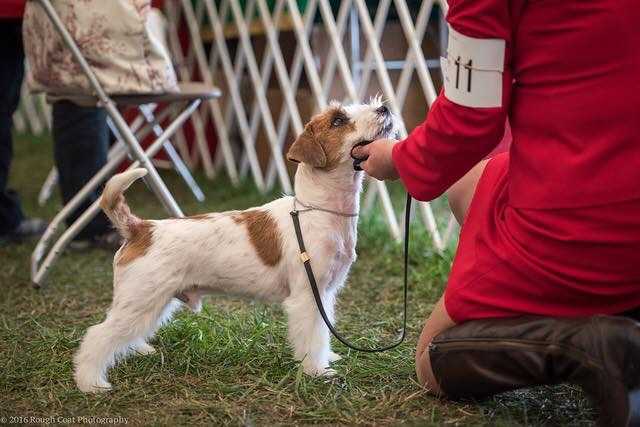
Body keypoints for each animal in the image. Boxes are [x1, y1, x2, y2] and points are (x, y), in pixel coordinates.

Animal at [72, 98, 392, 392]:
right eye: (338, 121)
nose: (384, 108)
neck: (318, 210)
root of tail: (142, 228)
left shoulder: (325, 294)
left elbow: (323, 333)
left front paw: (326, 359)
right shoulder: (307, 296)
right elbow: (311, 336)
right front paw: (316, 371)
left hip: (152, 302)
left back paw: (137, 350)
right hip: (140, 300)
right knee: (97, 335)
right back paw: (91, 383)